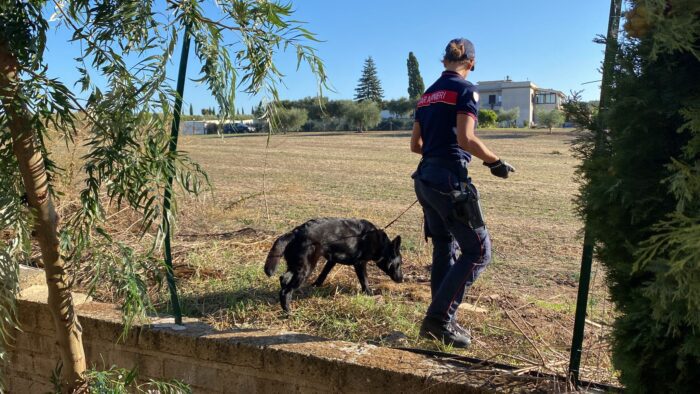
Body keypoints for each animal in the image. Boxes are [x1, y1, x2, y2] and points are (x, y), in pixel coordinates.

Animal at [264, 219, 404, 310]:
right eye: (399, 264)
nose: (402, 279)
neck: (380, 244)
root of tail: (295, 232)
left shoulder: (331, 261)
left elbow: (323, 274)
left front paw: (316, 285)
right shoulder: (360, 263)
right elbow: (364, 280)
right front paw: (369, 293)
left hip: (296, 266)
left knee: (284, 279)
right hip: (306, 269)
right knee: (286, 290)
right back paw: (288, 310)